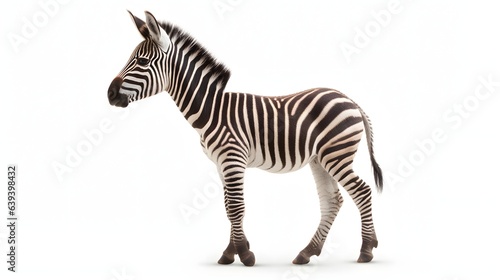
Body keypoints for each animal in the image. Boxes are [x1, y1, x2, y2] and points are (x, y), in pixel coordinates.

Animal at [108, 9, 382, 266]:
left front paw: (244, 254)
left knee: (362, 191)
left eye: (142, 62)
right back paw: (307, 252)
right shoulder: (221, 164)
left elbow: (236, 207)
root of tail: (350, 99)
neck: (212, 110)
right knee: (332, 201)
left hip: (336, 155)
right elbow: (229, 207)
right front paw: (231, 252)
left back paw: (366, 250)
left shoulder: (232, 159)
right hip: (320, 159)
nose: (109, 94)